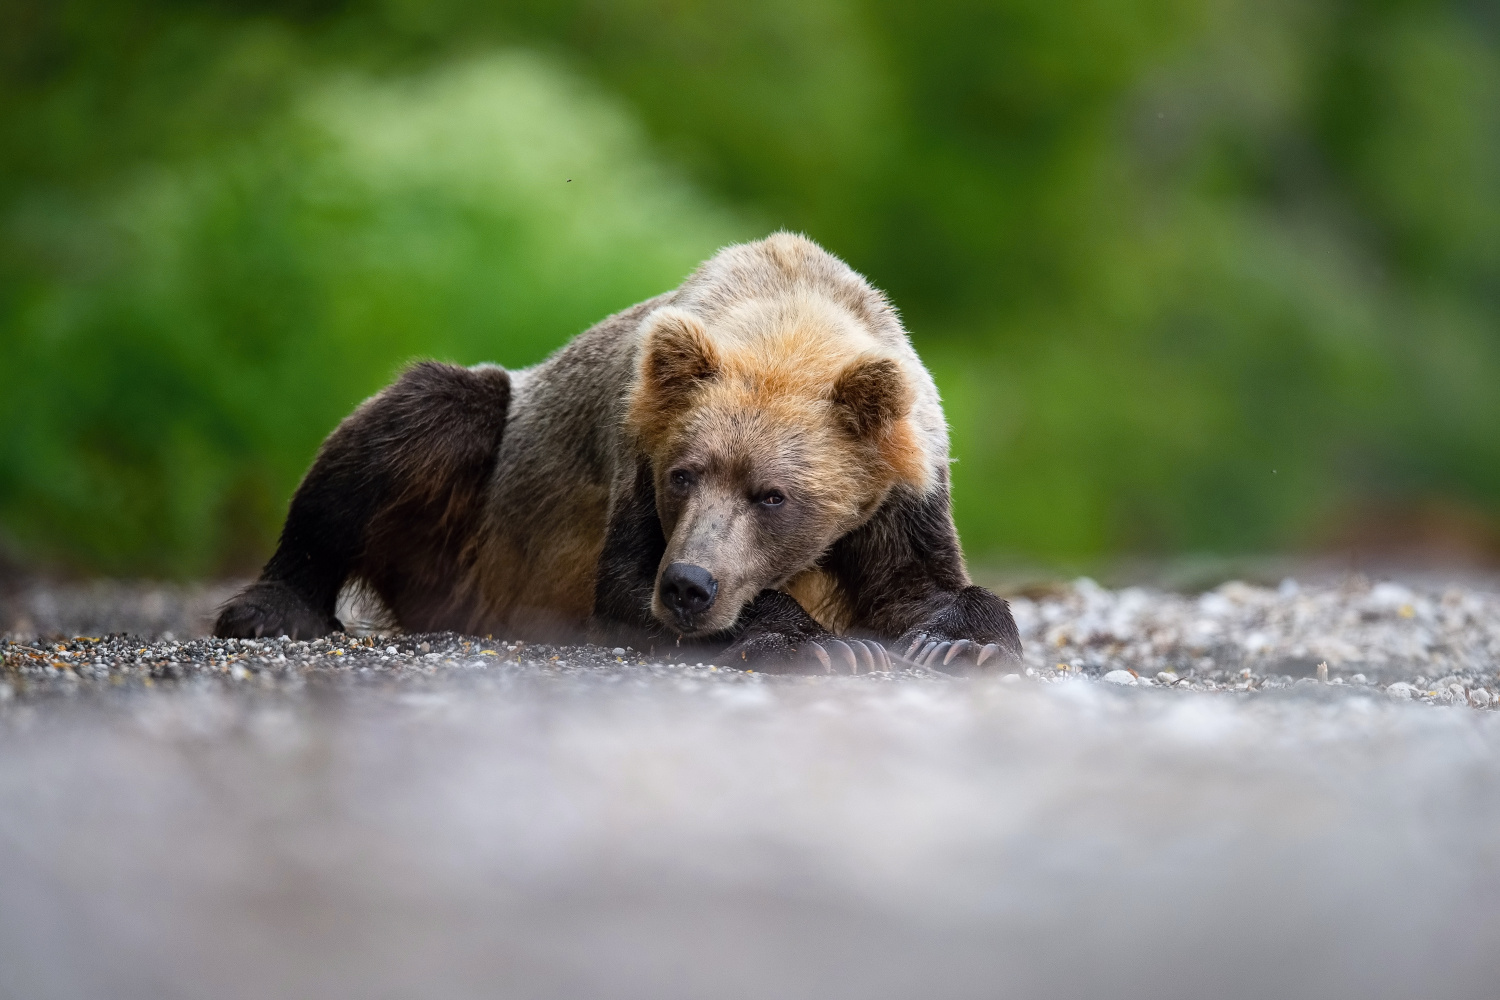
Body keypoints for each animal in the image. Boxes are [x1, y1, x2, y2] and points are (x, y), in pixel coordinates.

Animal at [214, 235, 1020, 671]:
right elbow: (626, 579)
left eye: (773, 494)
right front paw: (819, 645)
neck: (790, 315)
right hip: (472, 525)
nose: (690, 585)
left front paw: (957, 645)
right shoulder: (635, 453)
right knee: (412, 423)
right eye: (684, 475)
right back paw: (269, 607)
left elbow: (923, 587)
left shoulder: (903, 490)